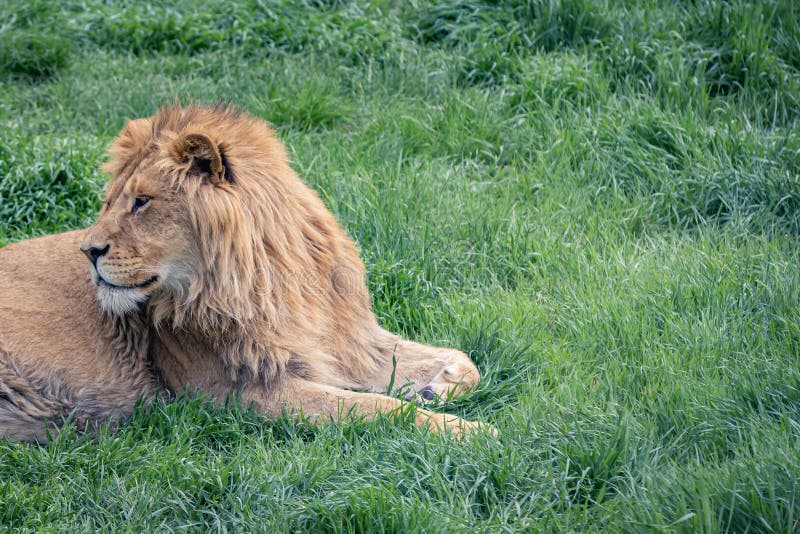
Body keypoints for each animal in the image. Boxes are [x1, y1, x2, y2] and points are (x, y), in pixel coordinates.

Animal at [0, 102, 494, 442]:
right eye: (109, 203)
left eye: (141, 202)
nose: (88, 250)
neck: (274, 282)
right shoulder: (234, 390)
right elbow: (376, 408)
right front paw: (472, 432)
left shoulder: (346, 345)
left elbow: (464, 360)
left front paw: (433, 390)